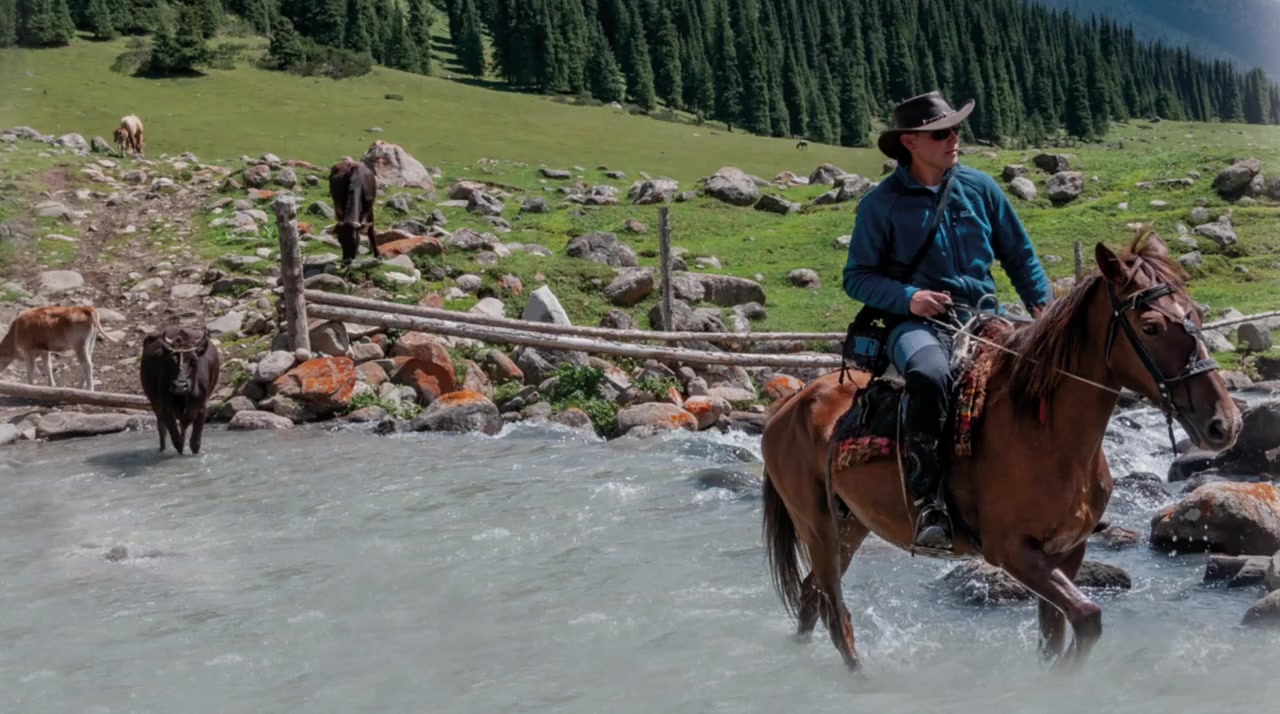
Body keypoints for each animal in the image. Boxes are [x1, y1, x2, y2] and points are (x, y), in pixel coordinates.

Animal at [139, 327, 220, 455]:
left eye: (194, 360)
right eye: (172, 360)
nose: (180, 386)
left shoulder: (202, 408)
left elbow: (195, 441)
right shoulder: (165, 408)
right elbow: (176, 438)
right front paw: (180, 449)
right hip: (154, 402)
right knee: (161, 427)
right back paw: (162, 449)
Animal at [760, 231, 1241, 674]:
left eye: (1197, 315)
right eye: (1151, 326)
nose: (1225, 423)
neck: (1046, 434)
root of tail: (789, 406)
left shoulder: (1067, 551)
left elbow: (1055, 635)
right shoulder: (1011, 551)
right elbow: (1087, 617)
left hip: (851, 524)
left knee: (811, 597)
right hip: (817, 526)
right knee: (834, 611)